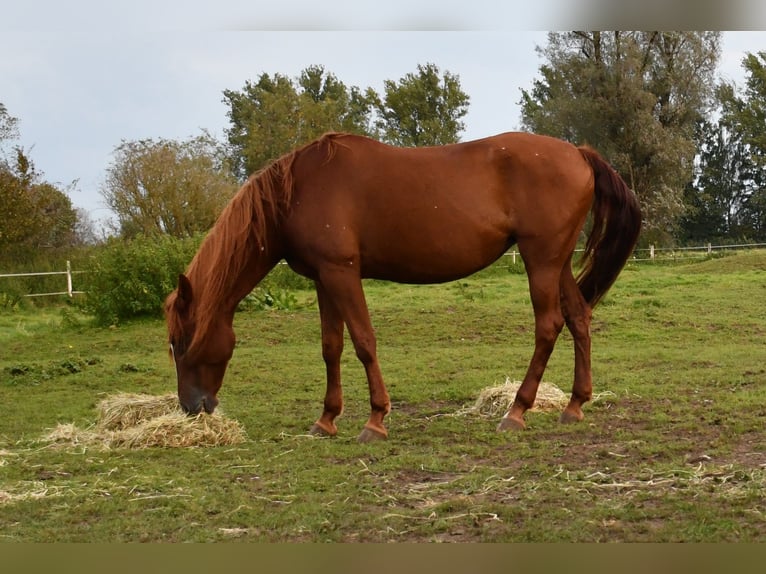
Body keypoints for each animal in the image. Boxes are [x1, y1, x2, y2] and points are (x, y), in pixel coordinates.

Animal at [166, 133, 640, 444]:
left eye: (181, 342)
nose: (191, 406)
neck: (297, 191)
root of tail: (578, 153)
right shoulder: (323, 279)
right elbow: (331, 347)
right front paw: (326, 419)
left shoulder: (342, 273)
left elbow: (363, 342)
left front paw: (375, 420)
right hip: (556, 263)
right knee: (578, 317)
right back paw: (574, 406)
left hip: (540, 261)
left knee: (548, 325)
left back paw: (516, 411)